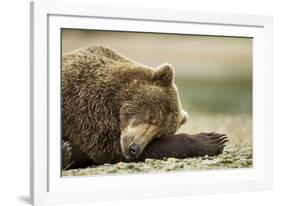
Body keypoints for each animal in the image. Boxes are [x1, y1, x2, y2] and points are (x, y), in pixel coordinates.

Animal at [61, 45, 228, 169]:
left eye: (159, 134)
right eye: (151, 117)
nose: (134, 149)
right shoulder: (87, 107)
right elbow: (107, 147)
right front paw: (213, 140)